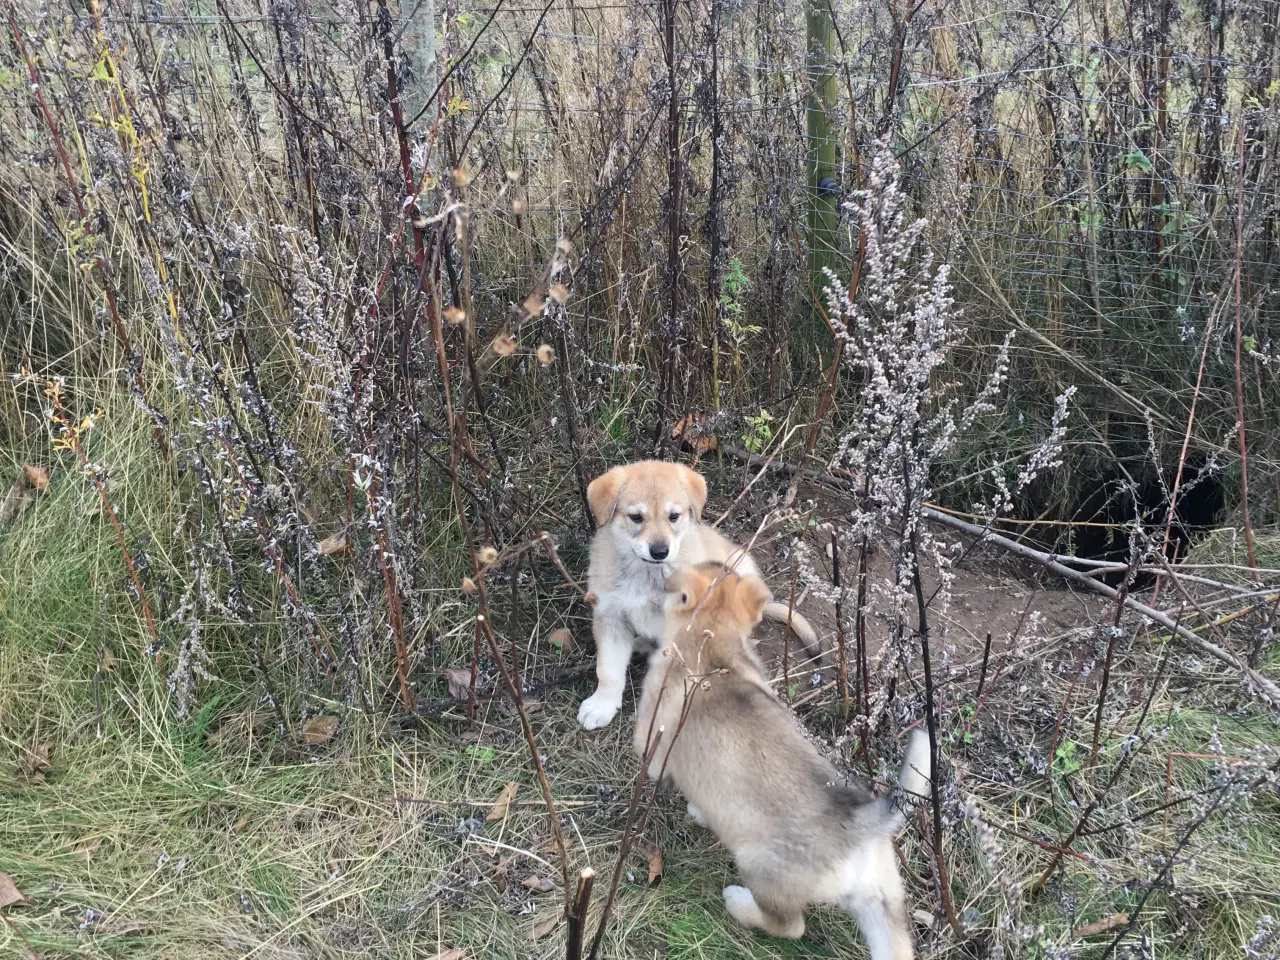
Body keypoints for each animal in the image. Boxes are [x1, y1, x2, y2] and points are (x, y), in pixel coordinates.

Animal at [573, 463, 814, 732]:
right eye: (636, 517)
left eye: (673, 516)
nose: (660, 552)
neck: (647, 574)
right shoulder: (610, 616)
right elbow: (608, 669)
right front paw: (602, 705)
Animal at [632, 563, 926, 960]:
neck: (714, 643)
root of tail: (863, 822)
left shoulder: (650, 740)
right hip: (885, 910)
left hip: (758, 869)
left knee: (789, 926)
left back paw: (738, 902)